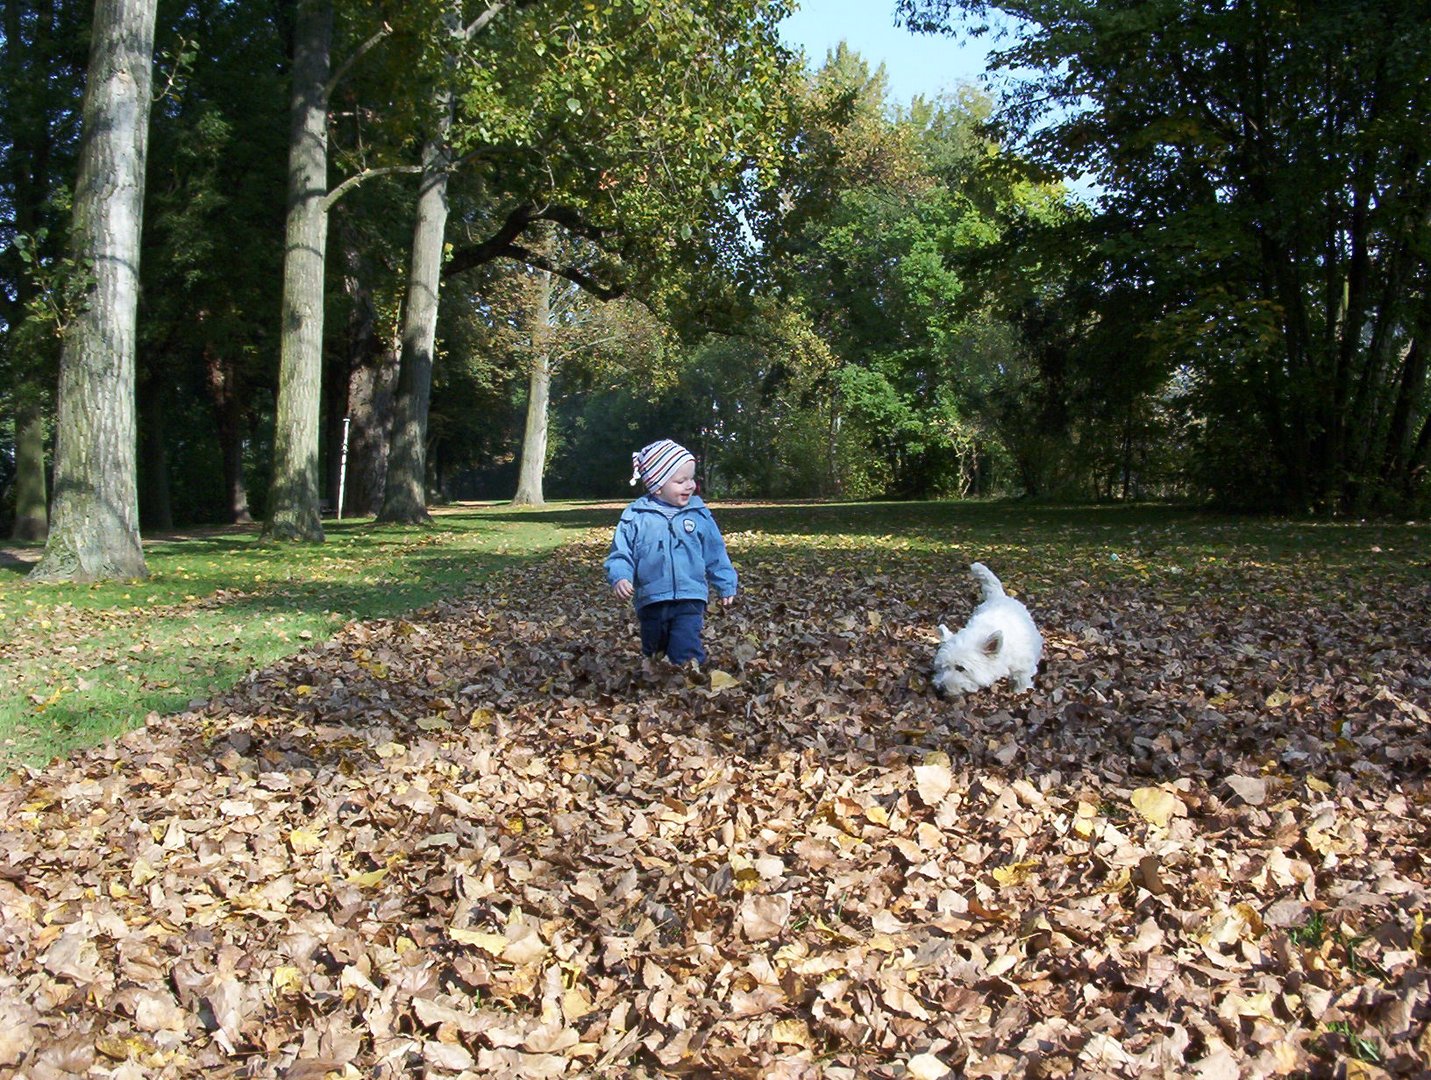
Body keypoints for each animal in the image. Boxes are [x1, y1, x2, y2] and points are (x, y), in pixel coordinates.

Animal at [933, 560, 1047, 698]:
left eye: (960, 668)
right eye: (942, 667)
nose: (939, 689)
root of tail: (999, 596)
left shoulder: (1023, 666)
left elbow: (1022, 680)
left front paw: (1020, 692)